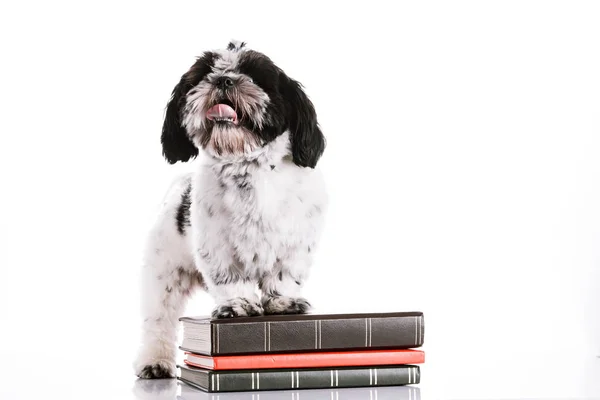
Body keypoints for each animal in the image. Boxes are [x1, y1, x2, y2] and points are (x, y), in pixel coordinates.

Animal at [134, 40, 328, 378]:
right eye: (204, 75)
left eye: (256, 76)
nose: (224, 79)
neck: (249, 168)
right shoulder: (218, 247)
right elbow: (230, 278)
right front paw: (239, 305)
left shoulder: (296, 244)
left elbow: (284, 275)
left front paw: (283, 302)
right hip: (163, 271)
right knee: (158, 320)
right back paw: (154, 360)